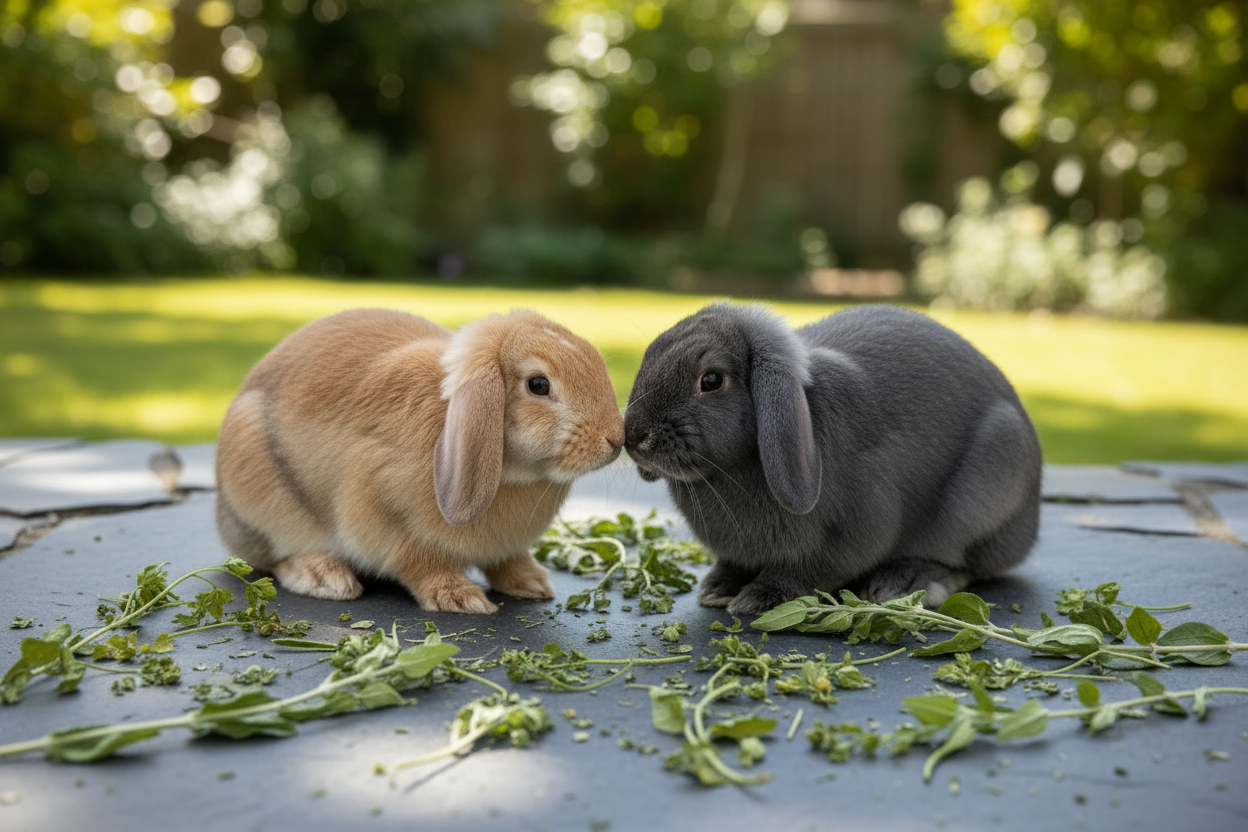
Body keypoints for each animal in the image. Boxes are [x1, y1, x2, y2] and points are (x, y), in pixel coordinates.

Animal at [215, 308, 624, 614]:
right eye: (538, 385)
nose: (616, 439)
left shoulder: (505, 548)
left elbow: (507, 560)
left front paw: (533, 583)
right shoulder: (382, 513)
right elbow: (417, 560)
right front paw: (461, 598)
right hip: (267, 500)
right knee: (276, 558)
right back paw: (326, 578)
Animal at [623, 302, 1042, 616]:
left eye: (711, 380)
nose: (633, 437)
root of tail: (1030, 520)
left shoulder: (853, 534)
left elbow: (808, 572)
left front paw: (757, 599)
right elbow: (734, 564)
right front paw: (717, 588)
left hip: (987, 485)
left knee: (965, 563)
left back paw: (903, 583)